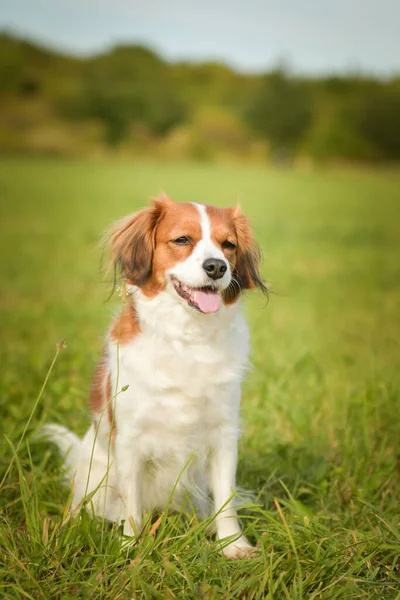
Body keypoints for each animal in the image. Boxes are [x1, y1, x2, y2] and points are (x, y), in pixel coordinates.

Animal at [43, 195, 266, 560]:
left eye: (228, 245)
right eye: (182, 240)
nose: (217, 267)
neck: (188, 338)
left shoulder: (223, 434)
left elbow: (226, 498)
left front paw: (233, 545)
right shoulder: (129, 439)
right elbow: (131, 504)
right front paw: (129, 547)